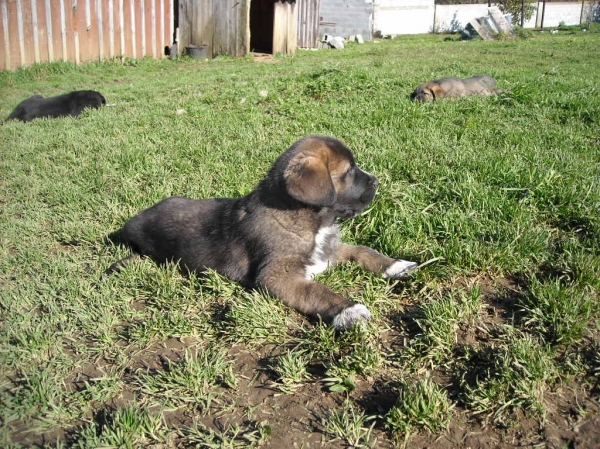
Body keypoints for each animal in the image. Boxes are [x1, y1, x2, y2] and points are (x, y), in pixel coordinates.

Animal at [109, 135, 418, 328]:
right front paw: (348, 310)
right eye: (350, 171)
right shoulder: (277, 277)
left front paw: (395, 265)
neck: (312, 222)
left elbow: (364, 251)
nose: (377, 182)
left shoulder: (330, 250)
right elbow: (317, 291)